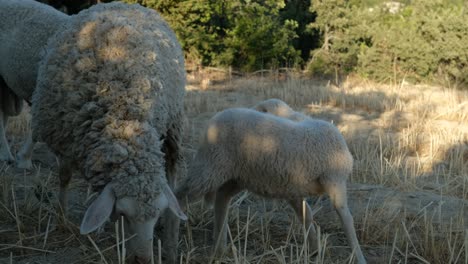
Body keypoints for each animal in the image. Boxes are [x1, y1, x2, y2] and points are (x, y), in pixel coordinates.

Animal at [30, 2, 188, 264]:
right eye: (122, 213)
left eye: (157, 213)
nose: (144, 259)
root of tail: (123, 4)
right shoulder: (63, 138)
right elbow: (64, 177)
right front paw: (63, 216)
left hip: (174, 126)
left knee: (173, 171)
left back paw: (172, 242)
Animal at [175, 107, 366, 264]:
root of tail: (213, 121)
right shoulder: (334, 180)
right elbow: (345, 218)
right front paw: (358, 256)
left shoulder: (294, 188)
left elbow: (307, 215)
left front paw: (315, 249)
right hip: (209, 167)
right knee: (180, 195)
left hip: (238, 176)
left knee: (222, 197)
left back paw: (219, 249)